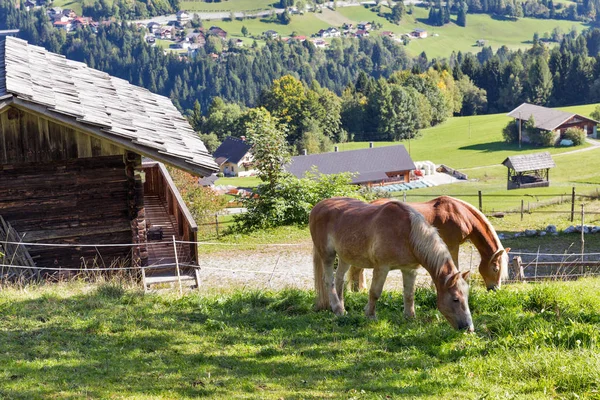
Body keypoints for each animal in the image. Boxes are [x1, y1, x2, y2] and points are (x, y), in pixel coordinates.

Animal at [310, 197, 474, 332]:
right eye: (455, 299)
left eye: (467, 297)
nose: (469, 328)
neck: (408, 234)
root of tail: (318, 206)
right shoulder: (382, 268)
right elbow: (375, 292)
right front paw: (370, 315)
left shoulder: (409, 270)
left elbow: (409, 294)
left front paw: (410, 317)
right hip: (328, 255)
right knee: (329, 280)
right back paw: (337, 308)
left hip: (345, 258)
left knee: (339, 279)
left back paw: (342, 308)